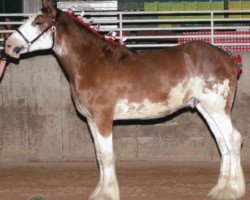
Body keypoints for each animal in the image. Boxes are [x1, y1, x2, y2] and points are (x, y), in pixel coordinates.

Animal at [4, 0, 246, 199]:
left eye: (38, 22)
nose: (8, 45)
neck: (92, 63)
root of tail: (228, 59)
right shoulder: (92, 121)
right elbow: (99, 156)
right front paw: (99, 192)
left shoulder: (103, 119)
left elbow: (107, 156)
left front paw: (107, 194)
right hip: (206, 109)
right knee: (223, 143)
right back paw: (220, 190)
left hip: (217, 109)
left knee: (233, 140)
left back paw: (233, 191)